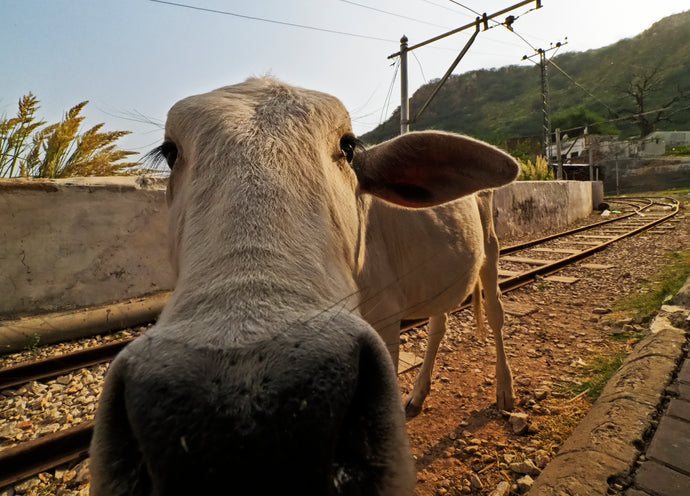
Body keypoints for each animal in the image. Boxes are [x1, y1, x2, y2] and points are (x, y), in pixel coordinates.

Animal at [90, 79, 516, 494]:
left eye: (347, 146)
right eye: (169, 151)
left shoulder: (386, 319)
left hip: (491, 249)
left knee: (495, 315)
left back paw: (505, 392)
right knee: (439, 322)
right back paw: (418, 394)